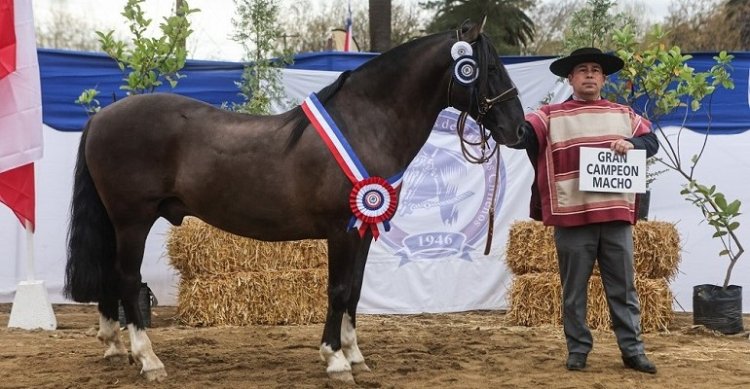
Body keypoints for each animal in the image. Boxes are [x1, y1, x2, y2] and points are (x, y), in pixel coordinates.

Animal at [63, 19, 524, 380]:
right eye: (490, 69)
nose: (518, 130)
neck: (363, 124)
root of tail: (101, 116)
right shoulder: (341, 230)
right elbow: (339, 289)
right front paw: (335, 360)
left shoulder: (362, 230)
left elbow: (355, 291)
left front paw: (355, 356)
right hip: (132, 220)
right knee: (127, 280)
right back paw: (148, 360)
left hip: (118, 223)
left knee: (111, 278)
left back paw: (115, 347)